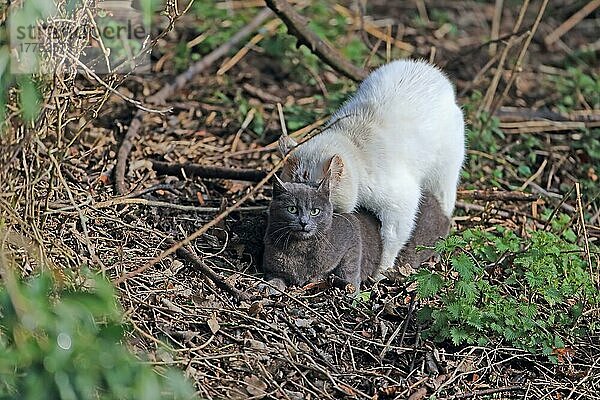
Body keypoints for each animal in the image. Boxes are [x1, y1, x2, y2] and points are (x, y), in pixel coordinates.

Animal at [262, 170, 450, 292]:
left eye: (315, 211)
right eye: (292, 209)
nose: (303, 222)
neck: (300, 249)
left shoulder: (351, 231)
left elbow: (349, 266)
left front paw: (351, 290)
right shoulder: (272, 266)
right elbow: (274, 277)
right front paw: (269, 287)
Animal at [278, 57, 466, 274]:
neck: (355, 147)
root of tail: (433, 73)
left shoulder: (401, 203)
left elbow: (391, 238)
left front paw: (381, 270)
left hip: (444, 176)